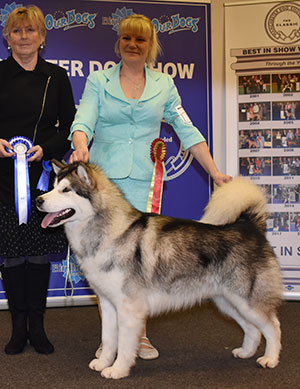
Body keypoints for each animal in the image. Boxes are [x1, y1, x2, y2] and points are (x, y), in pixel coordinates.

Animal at [36, 160, 282, 378]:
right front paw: (103, 362)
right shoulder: (107, 304)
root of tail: (250, 226)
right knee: (253, 329)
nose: (38, 200)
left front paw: (117, 370)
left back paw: (270, 359)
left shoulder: (129, 308)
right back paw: (245, 352)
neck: (111, 233)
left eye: (66, 190)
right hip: (228, 302)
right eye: (52, 187)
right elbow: (108, 339)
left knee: (273, 326)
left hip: (247, 301)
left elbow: (124, 345)